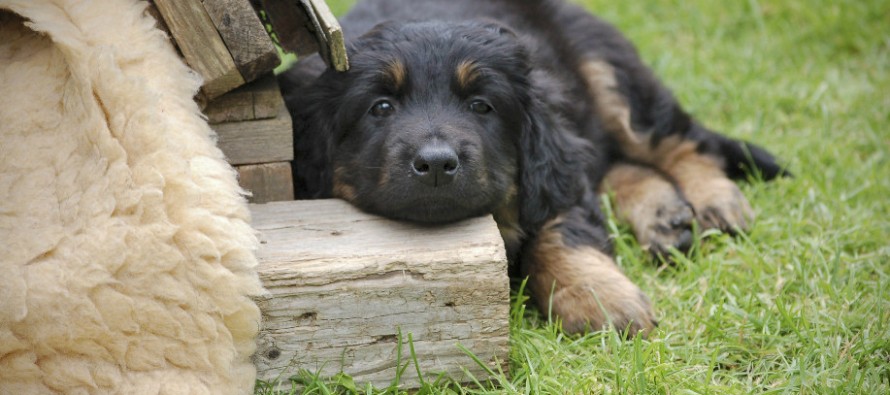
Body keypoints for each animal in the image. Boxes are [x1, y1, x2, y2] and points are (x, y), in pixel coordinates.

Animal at [280, 0, 784, 338]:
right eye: (380, 107)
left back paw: (716, 201)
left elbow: (559, 236)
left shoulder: (555, 177)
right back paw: (666, 217)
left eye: (481, 106)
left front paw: (600, 301)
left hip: (609, 73)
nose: (438, 163)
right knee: (617, 165)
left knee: (680, 141)